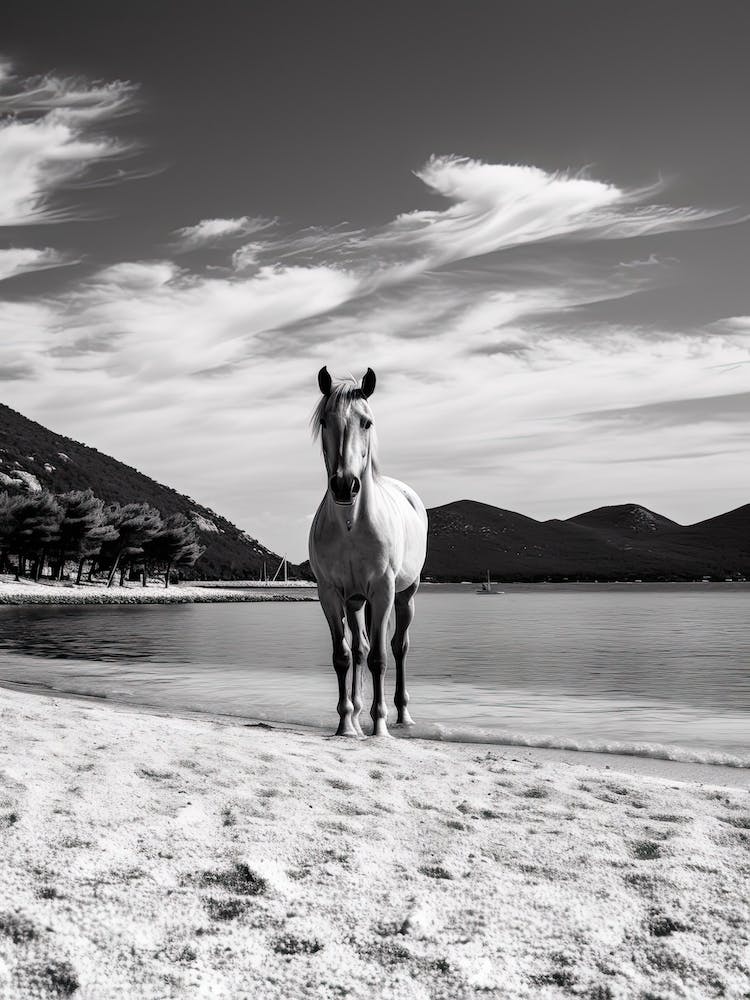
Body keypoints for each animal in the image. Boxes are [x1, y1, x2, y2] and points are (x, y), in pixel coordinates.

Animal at [309, 366, 428, 737]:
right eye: (325, 421)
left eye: (366, 422)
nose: (345, 485)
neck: (351, 525)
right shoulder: (330, 594)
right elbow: (344, 656)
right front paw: (347, 724)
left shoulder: (383, 589)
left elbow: (380, 658)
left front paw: (380, 728)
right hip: (357, 600)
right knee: (360, 648)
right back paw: (359, 714)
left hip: (404, 595)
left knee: (398, 647)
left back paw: (402, 715)